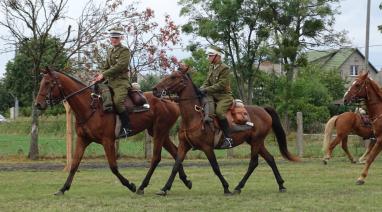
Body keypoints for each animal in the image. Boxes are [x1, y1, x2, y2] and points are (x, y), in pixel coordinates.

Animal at [34, 68, 192, 195]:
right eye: (41, 83)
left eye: (48, 83)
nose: (38, 104)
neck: (91, 107)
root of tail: (171, 101)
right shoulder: (82, 139)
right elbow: (74, 164)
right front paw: (63, 188)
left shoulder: (108, 141)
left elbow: (113, 167)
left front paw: (130, 185)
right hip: (159, 133)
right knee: (176, 152)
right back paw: (185, 181)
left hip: (159, 132)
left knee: (156, 158)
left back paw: (142, 186)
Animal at [152, 68, 298, 195]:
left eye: (173, 77)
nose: (155, 89)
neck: (194, 116)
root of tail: (263, 110)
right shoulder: (184, 146)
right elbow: (176, 166)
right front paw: (165, 188)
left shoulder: (207, 147)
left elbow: (215, 167)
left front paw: (226, 187)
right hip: (256, 142)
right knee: (270, 159)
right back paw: (281, 185)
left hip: (256, 142)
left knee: (253, 163)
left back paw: (238, 187)